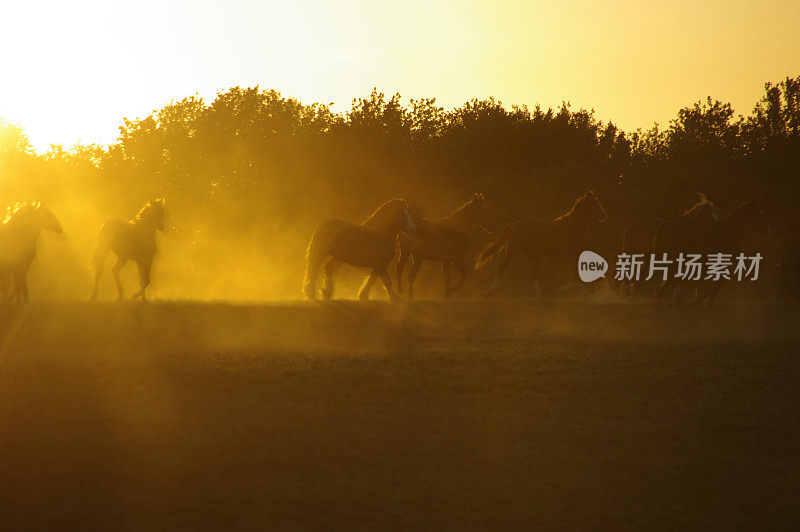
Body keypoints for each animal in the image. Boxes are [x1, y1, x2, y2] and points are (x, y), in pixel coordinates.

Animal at [476, 189, 608, 298]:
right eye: (594, 203)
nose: (604, 216)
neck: (571, 228)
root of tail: (513, 225)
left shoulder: (571, 256)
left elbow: (574, 277)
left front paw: (564, 289)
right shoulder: (572, 255)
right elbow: (577, 276)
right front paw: (583, 296)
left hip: (531, 254)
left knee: (533, 273)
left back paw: (541, 296)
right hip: (514, 251)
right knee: (501, 267)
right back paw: (489, 293)